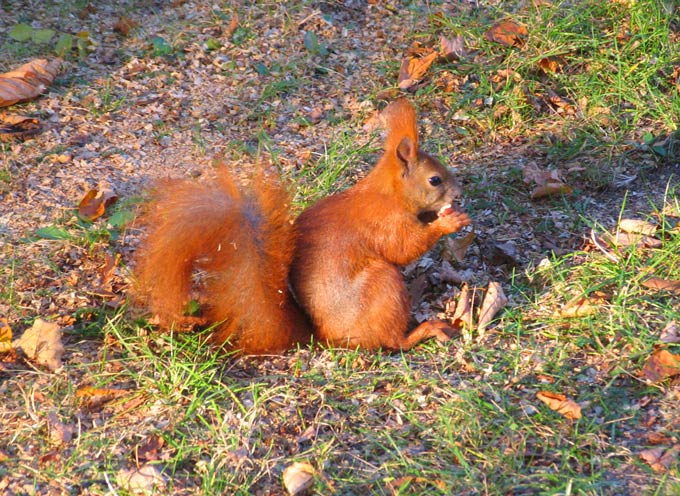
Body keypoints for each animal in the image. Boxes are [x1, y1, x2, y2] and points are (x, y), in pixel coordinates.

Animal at [135, 98, 470, 352]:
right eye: (435, 180)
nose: (458, 194)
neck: (388, 194)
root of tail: (325, 338)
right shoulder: (384, 222)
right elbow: (403, 248)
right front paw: (449, 222)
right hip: (383, 285)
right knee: (393, 341)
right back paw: (425, 330)